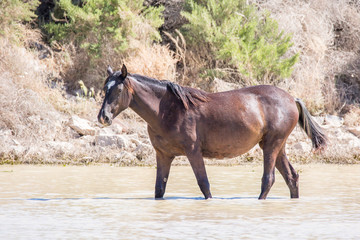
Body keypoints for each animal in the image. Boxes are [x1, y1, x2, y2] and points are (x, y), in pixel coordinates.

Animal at [97, 64, 326, 200]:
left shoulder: (193, 152)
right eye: (104, 88)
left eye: (118, 89)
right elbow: (159, 189)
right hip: (277, 147)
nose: (103, 117)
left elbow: (204, 185)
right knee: (292, 178)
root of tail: (291, 98)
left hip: (271, 146)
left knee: (268, 180)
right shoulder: (163, 155)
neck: (168, 110)